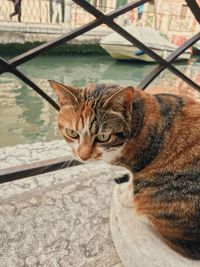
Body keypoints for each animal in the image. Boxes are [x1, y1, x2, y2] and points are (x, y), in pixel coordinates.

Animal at [49, 81, 200, 262]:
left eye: (103, 137)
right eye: (72, 133)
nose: (83, 156)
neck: (136, 120)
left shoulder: (140, 165)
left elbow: (133, 182)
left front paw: (126, 196)